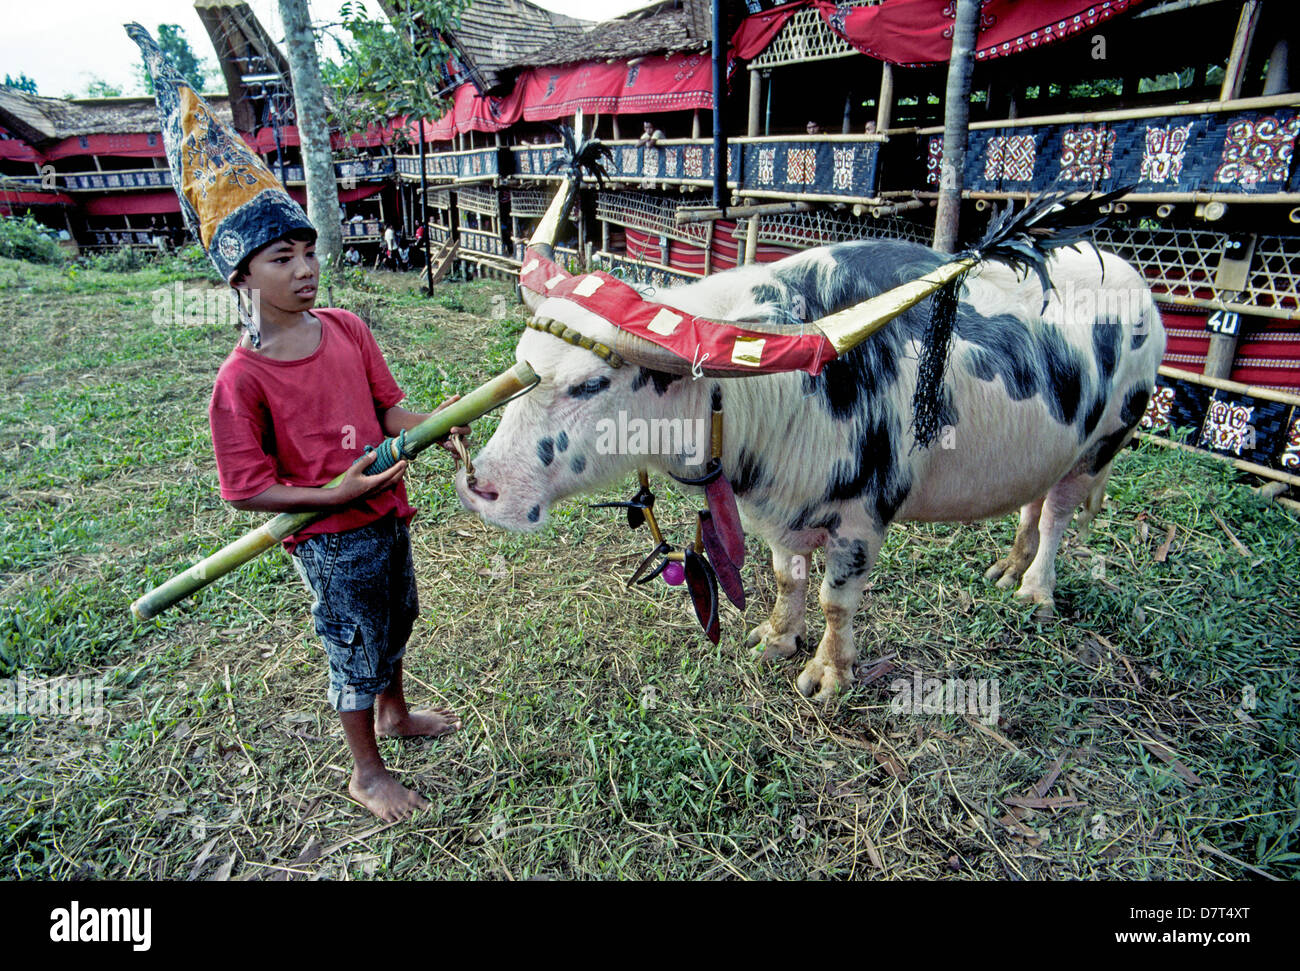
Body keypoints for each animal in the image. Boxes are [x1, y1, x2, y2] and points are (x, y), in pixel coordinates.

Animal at [457, 241, 1170, 696]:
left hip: (1104, 443)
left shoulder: (863, 520)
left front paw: (828, 673)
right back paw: (1008, 566)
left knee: (1057, 516)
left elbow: (834, 599)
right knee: (1033, 501)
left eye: (590, 383)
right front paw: (775, 639)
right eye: (523, 363)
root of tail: (1140, 290)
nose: (482, 487)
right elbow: (785, 579)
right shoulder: (781, 511)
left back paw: (1036, 589)